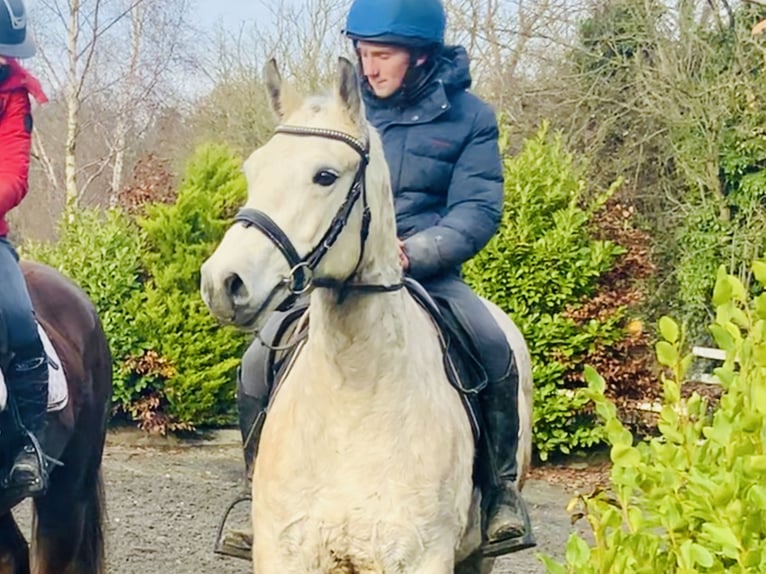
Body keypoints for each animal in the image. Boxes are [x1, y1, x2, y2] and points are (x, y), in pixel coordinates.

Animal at [200, 57, 536, 574]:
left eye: (325, 176)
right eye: (253, 170)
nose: (223, 282)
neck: (353, 398)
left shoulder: (421, 557)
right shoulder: (285, 552)